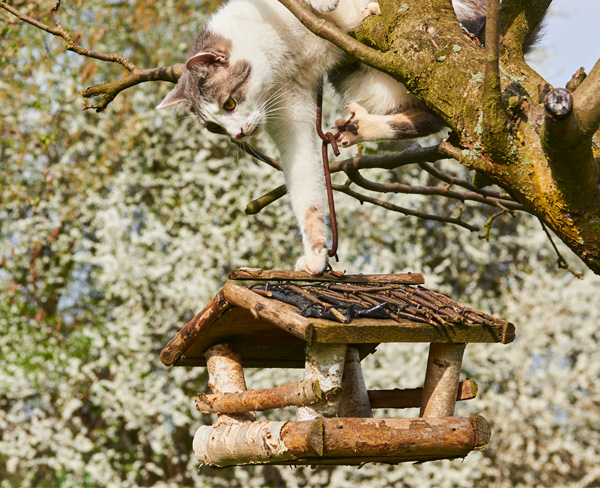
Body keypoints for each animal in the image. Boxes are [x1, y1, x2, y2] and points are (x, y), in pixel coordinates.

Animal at [158, 0, 488, 274]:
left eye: (229, 103)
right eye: (214, 127)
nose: (237, 133)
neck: (285, 57)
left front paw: (335, 6)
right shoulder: (292, 115)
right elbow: (306, 188)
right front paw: (317, 254)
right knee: (437, 113)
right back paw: (360, 127)